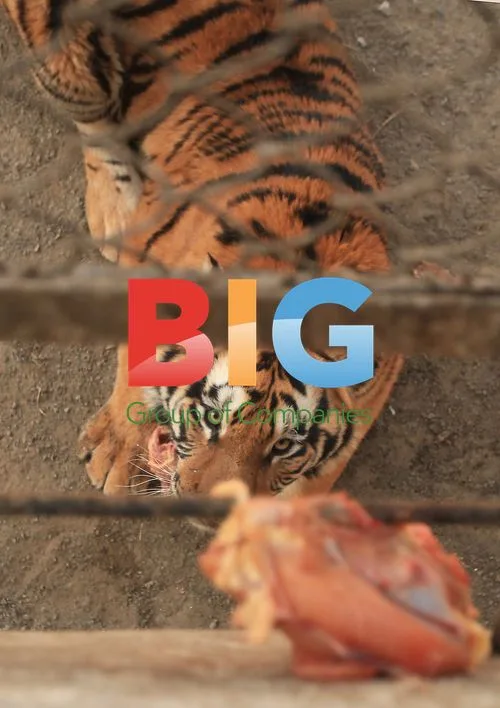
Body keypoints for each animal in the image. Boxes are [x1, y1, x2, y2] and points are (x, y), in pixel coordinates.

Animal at [2, 0, 406, 514]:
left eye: (284, 446)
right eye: (213, 417)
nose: (214, 511)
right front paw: (116, 456)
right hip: (70, 69)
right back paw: (114, 209)